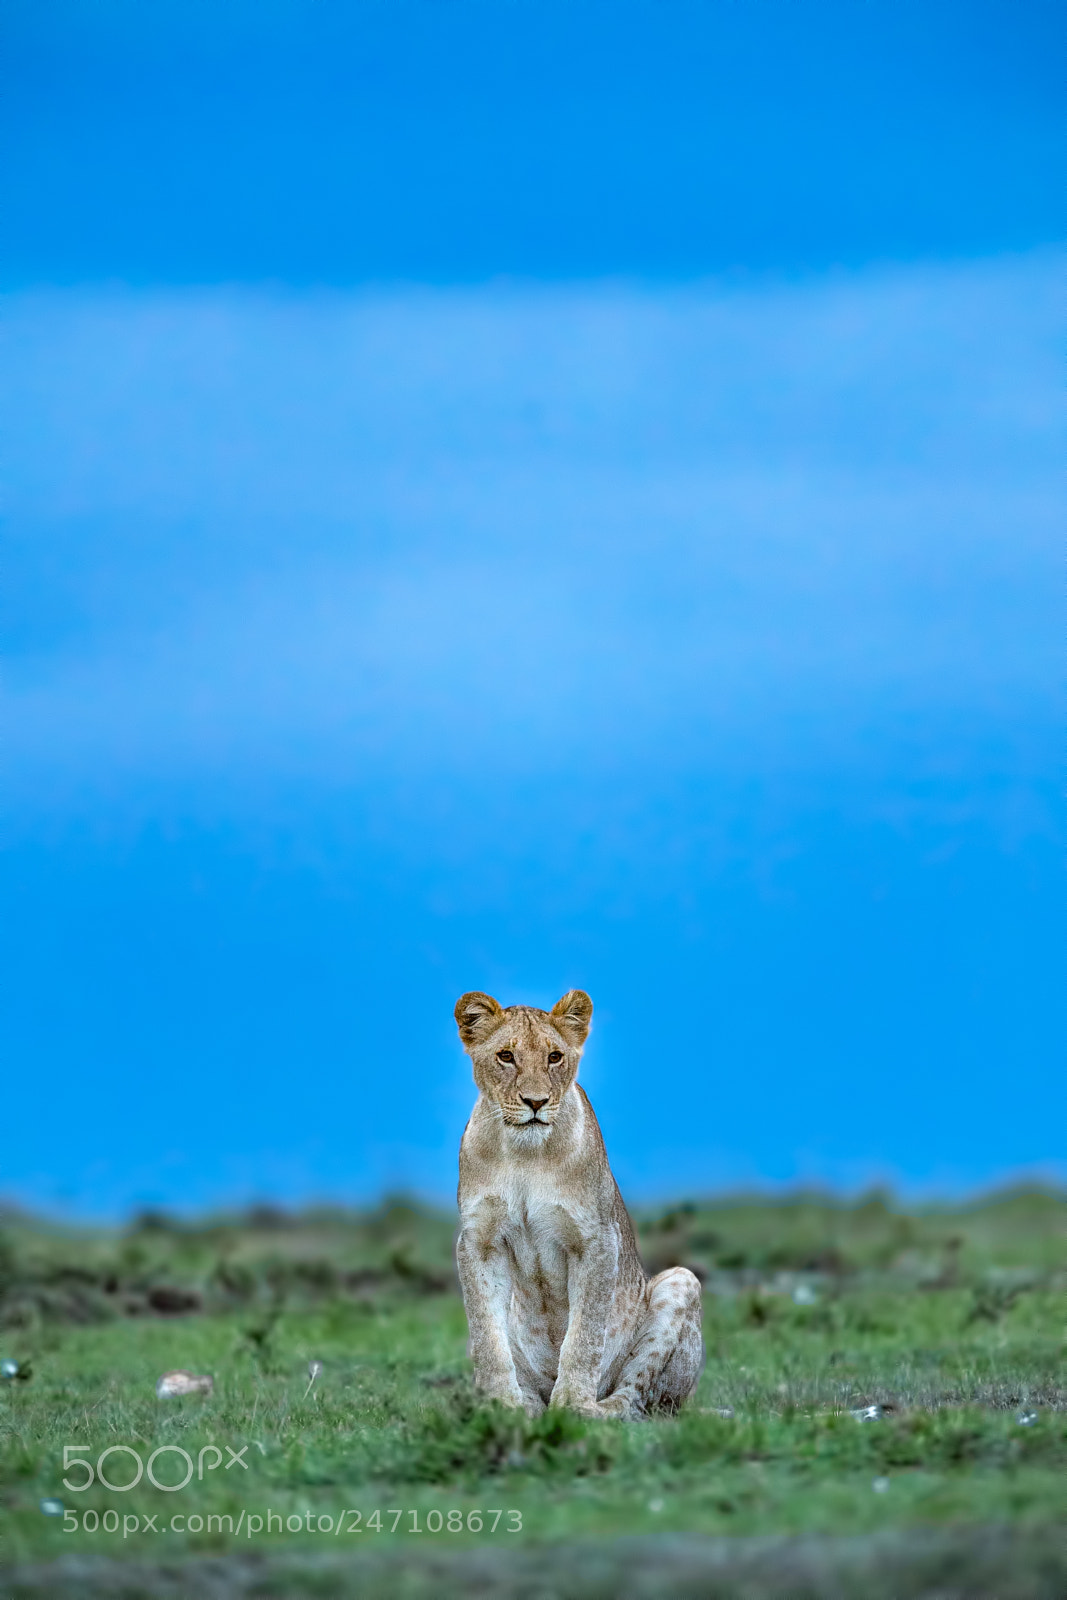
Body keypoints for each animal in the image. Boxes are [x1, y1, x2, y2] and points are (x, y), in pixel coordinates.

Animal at [454, 989, 704, 1419]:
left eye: (554, 1057)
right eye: (506, 1056)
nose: (535, 1102)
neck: (524, 1156)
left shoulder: (597, 1240)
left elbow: (584, 1335)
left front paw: (571, 1405)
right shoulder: (478, 1241)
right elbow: (487, 1336)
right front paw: (501, 1407)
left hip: (680, 1283)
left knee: (636, 1399)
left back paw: (595, 1411)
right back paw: (529, 1409)